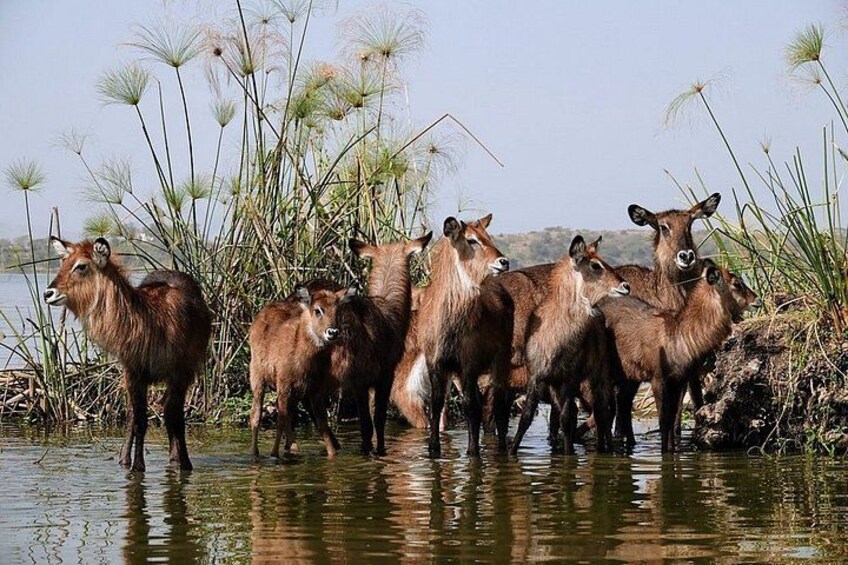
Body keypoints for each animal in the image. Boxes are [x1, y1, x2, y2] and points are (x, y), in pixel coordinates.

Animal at [44, 237, 211, 472]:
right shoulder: (134, 372)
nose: (48, 293)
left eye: (81, 266)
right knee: (133, 415)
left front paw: (183, 463)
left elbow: (174, 417)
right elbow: (138, 419)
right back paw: (124, 459)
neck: (150, 321)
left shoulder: (181, 373)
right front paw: (136, 466)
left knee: (169, 413)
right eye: (63, 262)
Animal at [248, 285, 354, 458]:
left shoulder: (316, 389)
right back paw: (255, 451)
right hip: (257, 374)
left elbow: (322, 423)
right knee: (256, 413)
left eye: (337, 310)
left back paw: (292, 447)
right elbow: (280, 419)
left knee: (289, 414)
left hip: (298, 390)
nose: (332, 332)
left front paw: (332, 454)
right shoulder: (283, 383)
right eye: (318, 310)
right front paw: (273, 454)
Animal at [416, 213, 514, 457]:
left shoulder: (469, 362)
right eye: (471, 240)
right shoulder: (436, 362)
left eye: (488, 237)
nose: (504, 262)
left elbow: (471, 406)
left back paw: (501, 448)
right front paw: (433, 449)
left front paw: (473, 451)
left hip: (500, 359)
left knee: (499, 402)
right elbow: (436, 403)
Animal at [598, 261, 756, 452]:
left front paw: (672, 449)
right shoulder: (658, 379)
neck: (679, 335)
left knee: (623, 405)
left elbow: (672, 418)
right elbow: (664, 421)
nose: (756, 299)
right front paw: (664, 451)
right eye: (736, 284)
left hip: (630, 377)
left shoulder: (678, 380)